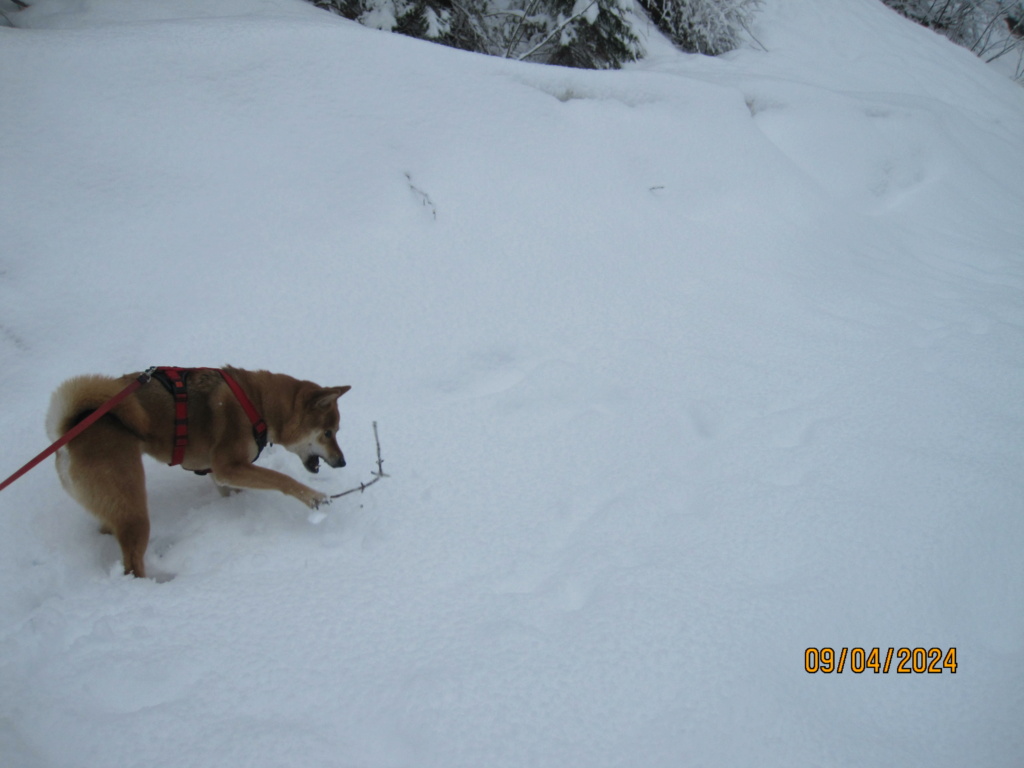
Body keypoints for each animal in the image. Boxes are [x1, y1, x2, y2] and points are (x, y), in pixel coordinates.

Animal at [46, 366, 350, 577]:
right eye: (328, 432)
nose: (342, 461)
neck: (258, 405)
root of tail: (69, 432)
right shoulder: (228, 465)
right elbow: (281, 478)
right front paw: (314, 497)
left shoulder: (222, 474)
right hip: (132, 506)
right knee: (132, 565)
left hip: (113, 504)